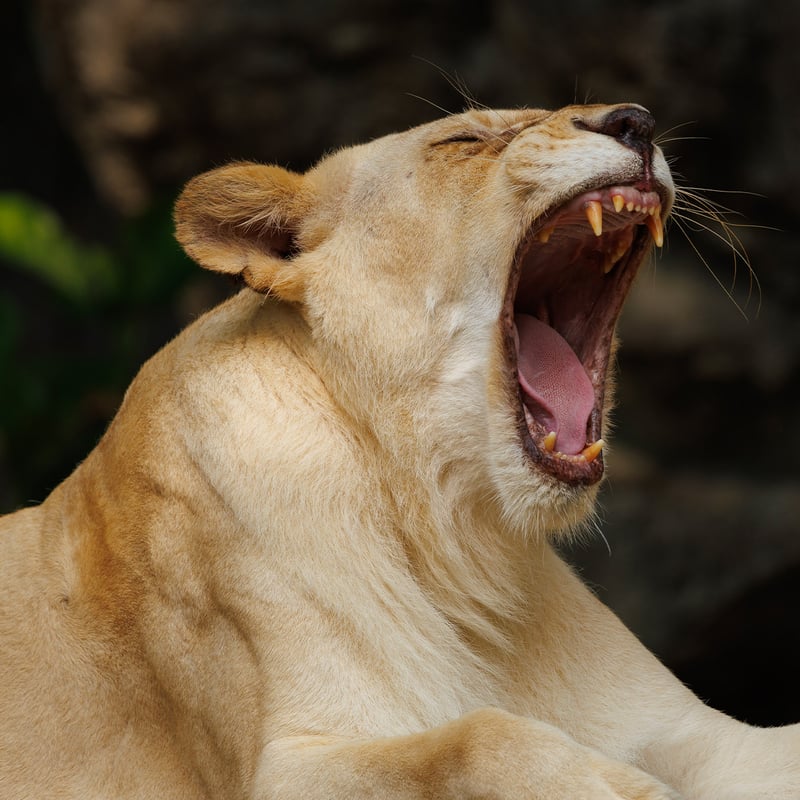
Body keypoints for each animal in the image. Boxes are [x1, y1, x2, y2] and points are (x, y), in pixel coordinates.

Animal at [1, 103, 798, 800]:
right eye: (464, 141)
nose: (636, 121)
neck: (460, 541)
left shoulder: (692, 730)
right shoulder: (281, 768)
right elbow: (476, 739)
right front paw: (616, 786)